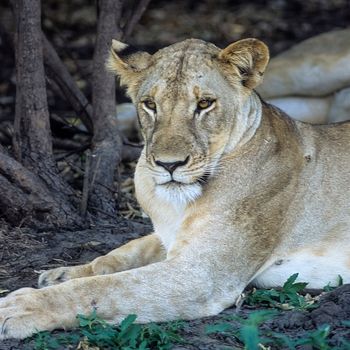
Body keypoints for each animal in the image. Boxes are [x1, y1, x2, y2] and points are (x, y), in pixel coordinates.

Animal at [0, 36, 350, 340]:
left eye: (205, 103)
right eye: (150, 104)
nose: (169, 164)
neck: (175, 204)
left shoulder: (201, 275)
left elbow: (105, 289)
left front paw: (19, 307)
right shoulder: (170, 238)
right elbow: (122, 254)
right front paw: (65, 273)